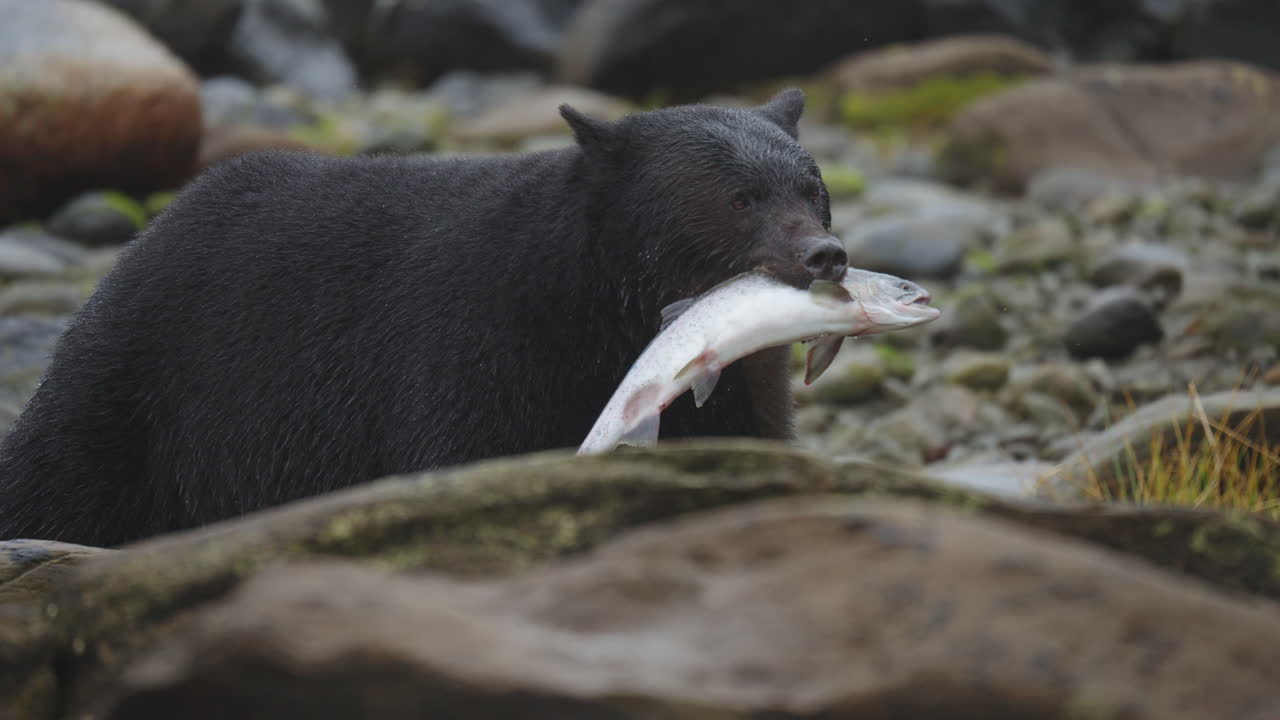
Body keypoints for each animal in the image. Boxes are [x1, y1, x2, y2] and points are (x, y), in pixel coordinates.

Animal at [0, 88, 846, 548]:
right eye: (739, 197)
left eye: (813, 188)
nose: (826, 255)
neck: (599, 302)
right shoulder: (477, 339)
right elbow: (462, 454)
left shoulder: (733, 389)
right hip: (134, 387)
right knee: (54, 478)